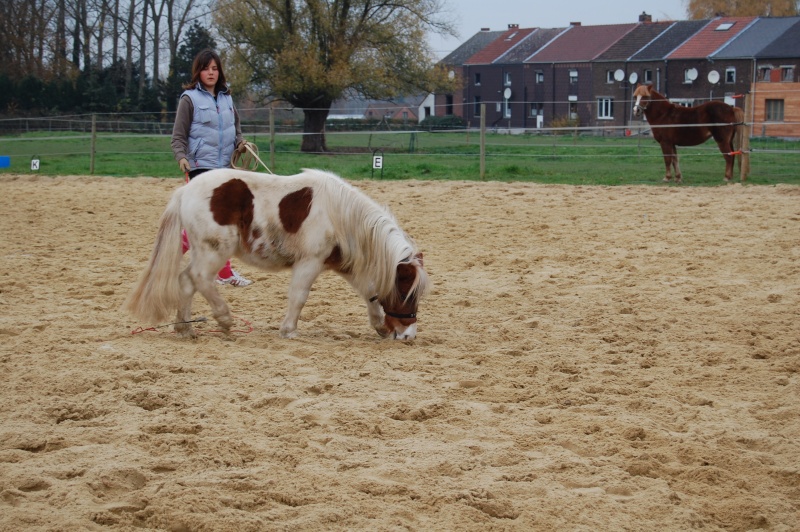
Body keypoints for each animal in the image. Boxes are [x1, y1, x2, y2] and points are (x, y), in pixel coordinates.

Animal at [122, 168, 428, 338]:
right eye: (405, 293)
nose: (408, 335)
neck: (340, 215)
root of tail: (184, 192)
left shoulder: (344, 265)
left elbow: (370, 293)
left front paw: (379, 326)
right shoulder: (310, 262)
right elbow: (299, 296)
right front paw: (289, 330)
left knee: (187, 281)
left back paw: (185, 328)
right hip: (214, 251)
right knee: (199, 278)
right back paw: (224, 319)